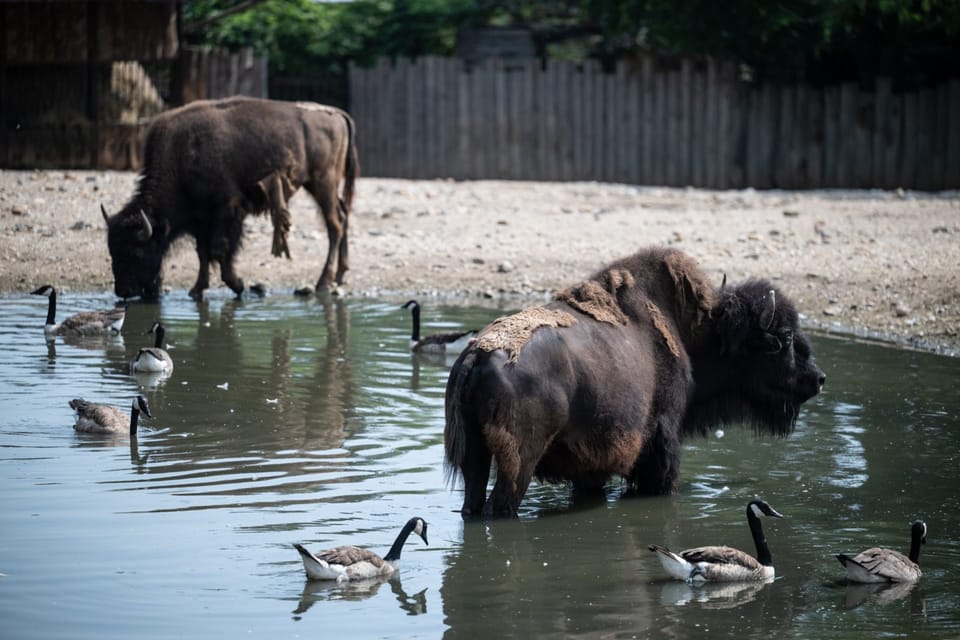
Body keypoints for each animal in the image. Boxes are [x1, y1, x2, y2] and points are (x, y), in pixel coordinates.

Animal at [101, 96, 358, 302]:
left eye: (136, 251)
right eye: (112, 250)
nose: (123, 291)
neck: (182, 157)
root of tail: (337, 114)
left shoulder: (228, 210)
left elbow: (220, 250)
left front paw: (237, 285)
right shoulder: (200, 220)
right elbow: (203, 253)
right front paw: (196, 290)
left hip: (323, 183)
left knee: (334, 224)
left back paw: (323, 282)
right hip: (323, 186)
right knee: (343, 216)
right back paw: (340, 275)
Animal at [444, 245, 824, 516]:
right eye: (783, 339)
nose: (818, 379)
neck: (701, 332)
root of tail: (477, 354)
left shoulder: (591, 467)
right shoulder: (662, 442)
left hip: (474, 458)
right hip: (518, 463)